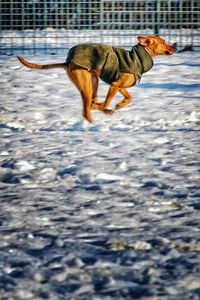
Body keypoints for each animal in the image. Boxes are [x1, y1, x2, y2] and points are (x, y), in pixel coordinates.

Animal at [16, 35, 173, 122]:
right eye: (164, 41)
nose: (174, 48)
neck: (138, 58)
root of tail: (68, 62)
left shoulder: (117, 85)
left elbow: (129, 98)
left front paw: (119, 105)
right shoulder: (114, 86)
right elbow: (105, 102)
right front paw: (107, 106)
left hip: (94, 81)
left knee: (92, 102)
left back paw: (104, 111)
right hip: (86, 85)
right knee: (87, 110)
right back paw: (93, 122)